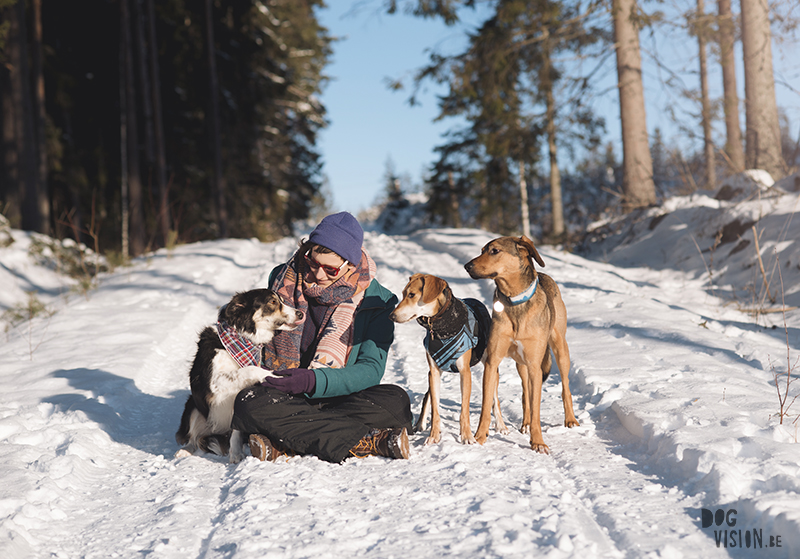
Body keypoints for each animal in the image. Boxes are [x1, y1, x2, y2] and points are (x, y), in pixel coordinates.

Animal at [390, 274, 504, 446]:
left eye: (411, 295)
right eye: (403, 294)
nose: (391, 315)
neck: (441, 327)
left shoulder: (465, 372)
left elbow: (464, 409)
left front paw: (467, 436)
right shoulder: (434, 371)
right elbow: (435, 409)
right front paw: (434, 436)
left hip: (491, 365)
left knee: (495, 396)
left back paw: (501, 425)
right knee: (428, 396)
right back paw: (420, 424)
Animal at [466, 236, 580, 456]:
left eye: (494, 251)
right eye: (482, 250)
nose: (467, 266)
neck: (514, 301)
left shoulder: (535, 365)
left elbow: (537, 409)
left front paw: (538, 442)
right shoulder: (492, 362)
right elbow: (486, 406)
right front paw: (479, 437)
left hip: (560, 348)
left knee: (565, 387)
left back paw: (570, 419)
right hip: (521, 364)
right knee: (525, 393)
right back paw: (525, 423)